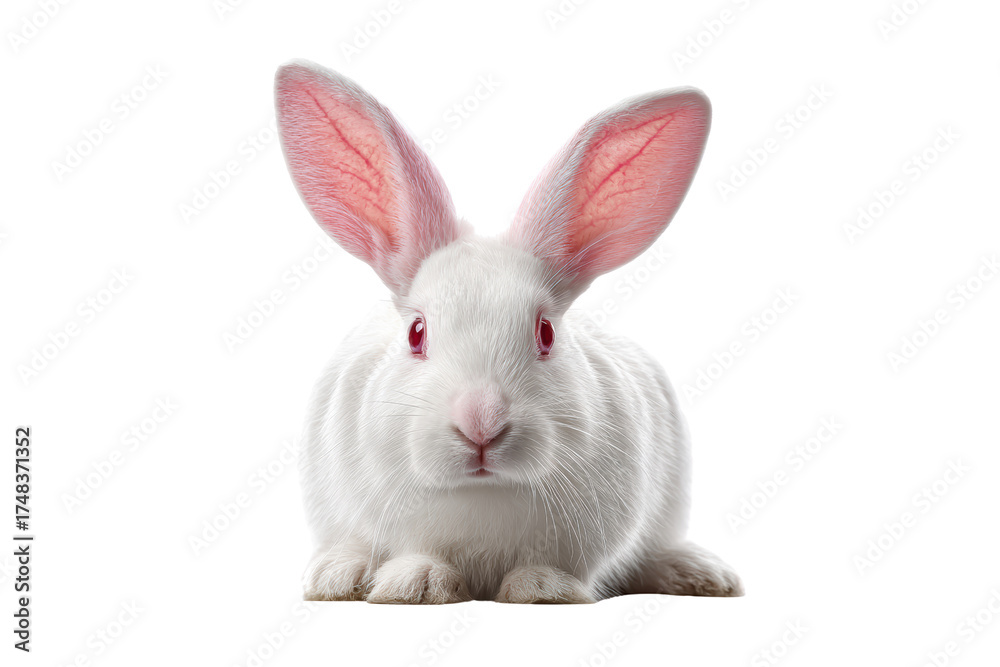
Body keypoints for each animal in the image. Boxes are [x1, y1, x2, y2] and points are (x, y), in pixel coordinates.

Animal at [275, 59, 743, 604]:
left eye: (546, 333)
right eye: (416, 333)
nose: (481, 423)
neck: (484, 492)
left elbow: (555, 565)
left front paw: (542, 589)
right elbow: (416, 551)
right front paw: (417, 583)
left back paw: (699, 573)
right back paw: (339, 575)